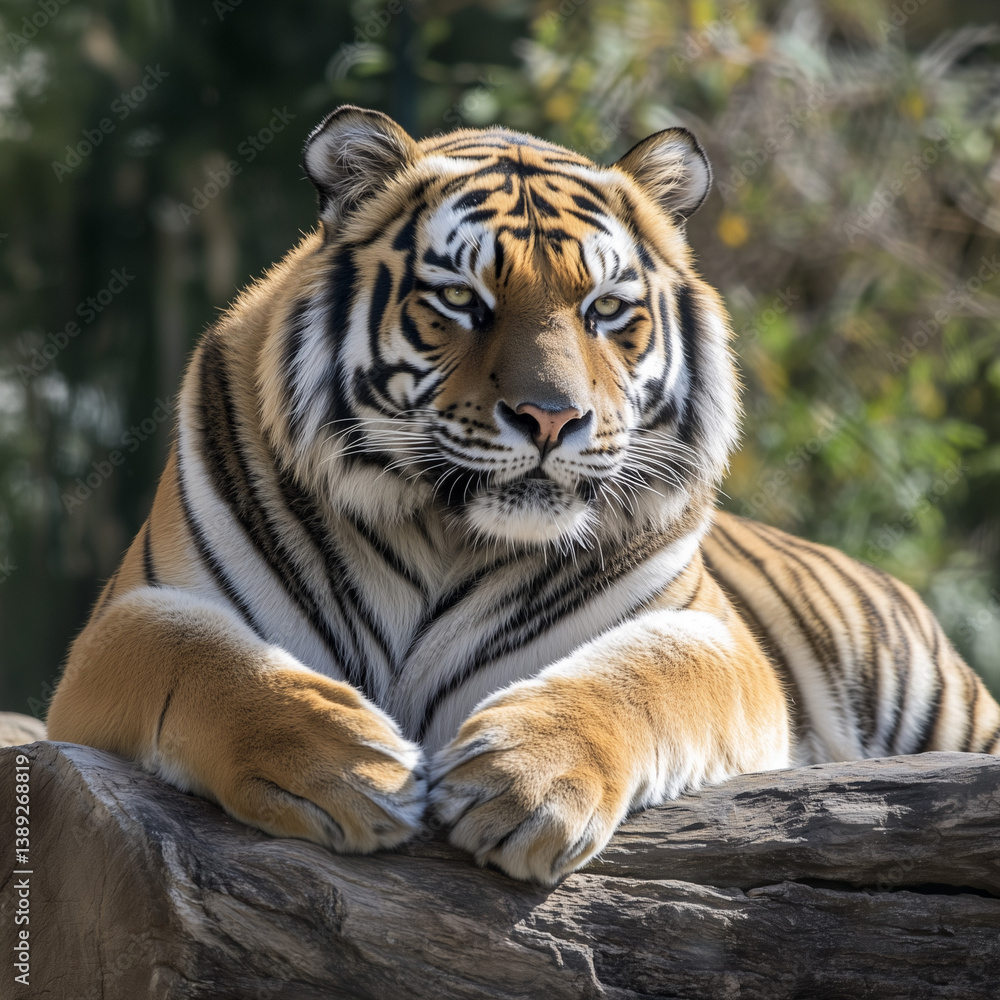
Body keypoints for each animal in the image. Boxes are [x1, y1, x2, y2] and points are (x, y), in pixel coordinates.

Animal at [47, 105, 1000, 885]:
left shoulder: (715, 635)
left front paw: (527, 782)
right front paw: (350, 763)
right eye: (461, 300)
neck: (443, 533)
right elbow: (200, 655)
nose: (552, 418)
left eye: (605, 309)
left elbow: (646, 674)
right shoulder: (123, 620)